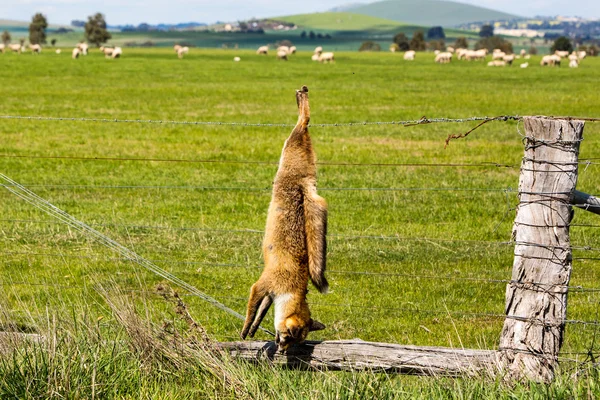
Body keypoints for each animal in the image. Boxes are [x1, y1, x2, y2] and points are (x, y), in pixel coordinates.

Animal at [240, 85, 328, 354]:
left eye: (295, 341)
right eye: (288, 337)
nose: (282, 351)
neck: (292, 287)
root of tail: (305, 182)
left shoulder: (269, 293)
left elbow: (260, 313)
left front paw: (253, 330)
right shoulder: (262, 285)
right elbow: (251, 312)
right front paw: (245, 331)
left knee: (304, 121)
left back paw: (302, 98)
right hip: (289, 146)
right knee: (303, 121)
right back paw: (302, 99)